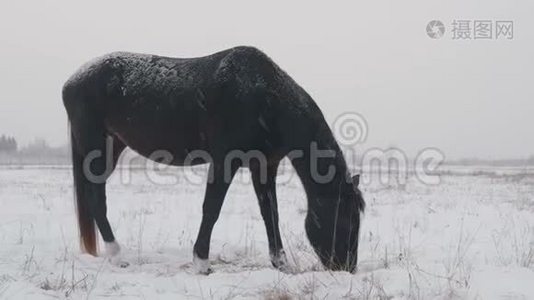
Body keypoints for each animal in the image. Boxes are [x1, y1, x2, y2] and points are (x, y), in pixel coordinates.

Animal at [61, 45, 364, 274]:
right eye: (345, 217)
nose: (346, 267)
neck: (263, 96)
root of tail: (72, 81)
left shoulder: (264, 165)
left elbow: (270, 213)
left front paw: (281, 264)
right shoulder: (225, 161)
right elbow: (212, 208)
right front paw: (201, 263)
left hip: (113, 147)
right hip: (96, 146)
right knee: (96, 198)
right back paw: (117, 255)